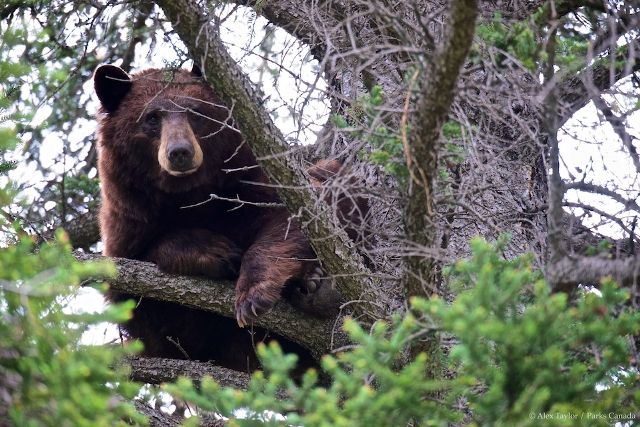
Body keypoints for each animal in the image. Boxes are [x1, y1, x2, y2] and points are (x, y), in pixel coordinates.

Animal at [93, 61, 368, 372]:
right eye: (152, 117)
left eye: (196, 112)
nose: (180, 152)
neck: (189, 195)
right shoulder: (130, 224)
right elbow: (150, 308)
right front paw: (216, 251)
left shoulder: (251, 184)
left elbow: (294, 218)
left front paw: (253, 295)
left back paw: (318, 286)